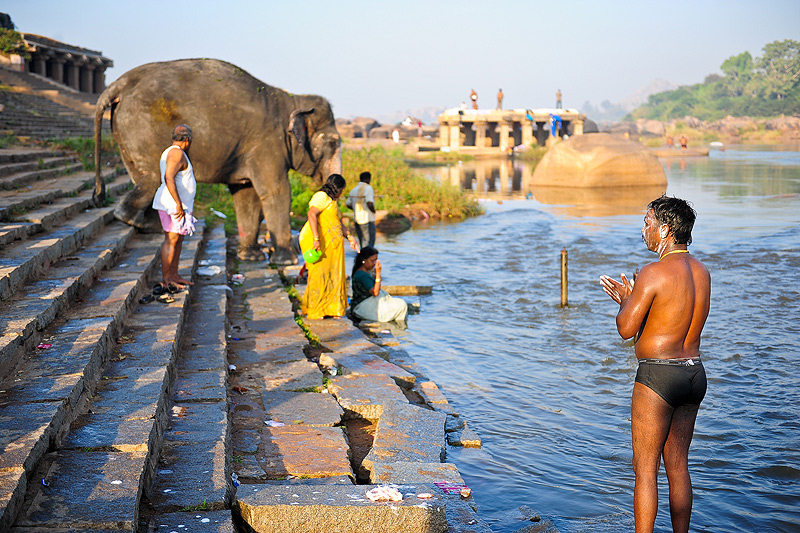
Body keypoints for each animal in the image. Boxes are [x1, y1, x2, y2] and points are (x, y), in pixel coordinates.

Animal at [93, 58, 340, 264]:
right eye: (333, 143)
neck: (292, 100)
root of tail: (118, 84)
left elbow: (246, 195)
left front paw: (250, 257)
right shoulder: (268, 144)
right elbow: (276, 191)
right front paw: (287, 261)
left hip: (123, 131)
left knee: (142, 177)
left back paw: (155, 224)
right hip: (144, 130)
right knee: (155, 177)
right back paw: (145, 223)